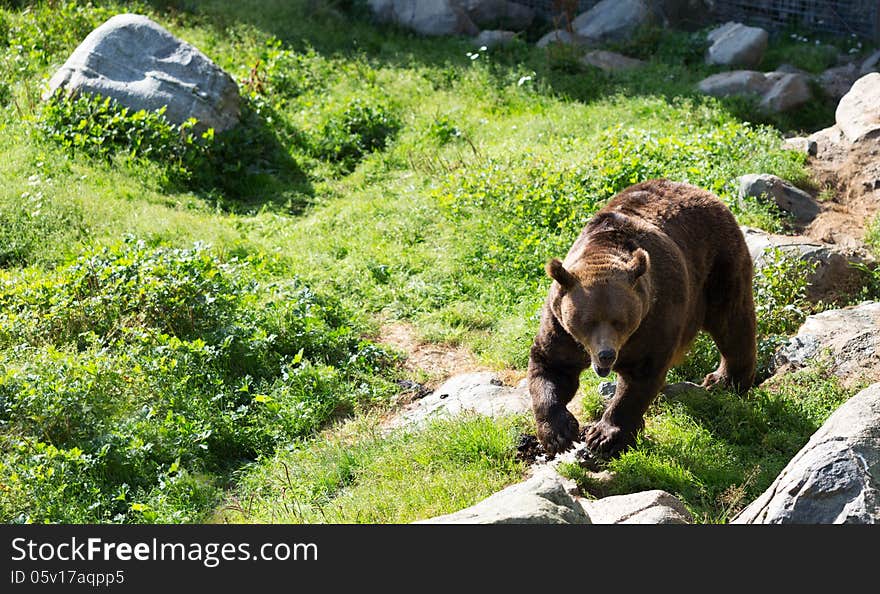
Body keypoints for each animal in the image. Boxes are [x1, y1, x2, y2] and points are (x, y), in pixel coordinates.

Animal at [528, 178, 756, 456]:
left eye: (620, 321)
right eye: (587, 322)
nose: (606, 355)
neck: (602, 251)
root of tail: (699, 190)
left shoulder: (653, 318)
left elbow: (640, 377)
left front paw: (605, 436)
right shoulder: (560, 327)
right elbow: (551, 365)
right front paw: (559, 434)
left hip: (719, 265)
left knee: (732, 322)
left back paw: (725, 380)